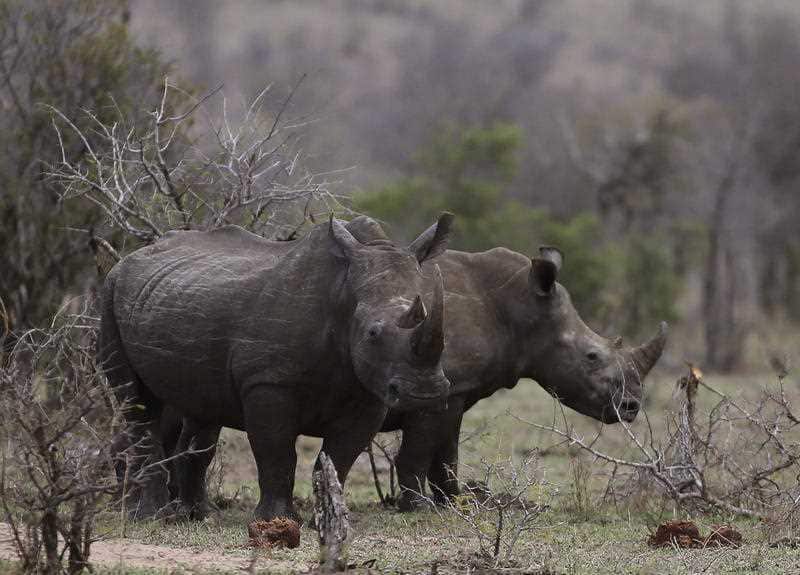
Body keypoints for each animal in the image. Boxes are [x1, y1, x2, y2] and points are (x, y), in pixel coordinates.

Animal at [99, 215, 454, 521]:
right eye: (373, 333)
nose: (425, 393)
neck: (344, 296)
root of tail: (128, 258)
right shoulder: (267, 382)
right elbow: (277, 452)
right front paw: (277, 519)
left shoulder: (370, 392)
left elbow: (340, 457)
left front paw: (327, 518)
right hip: (110, 294)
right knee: (137, 403)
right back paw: (152, 516)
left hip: (178, 302)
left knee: (202, 413)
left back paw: (197, 515)